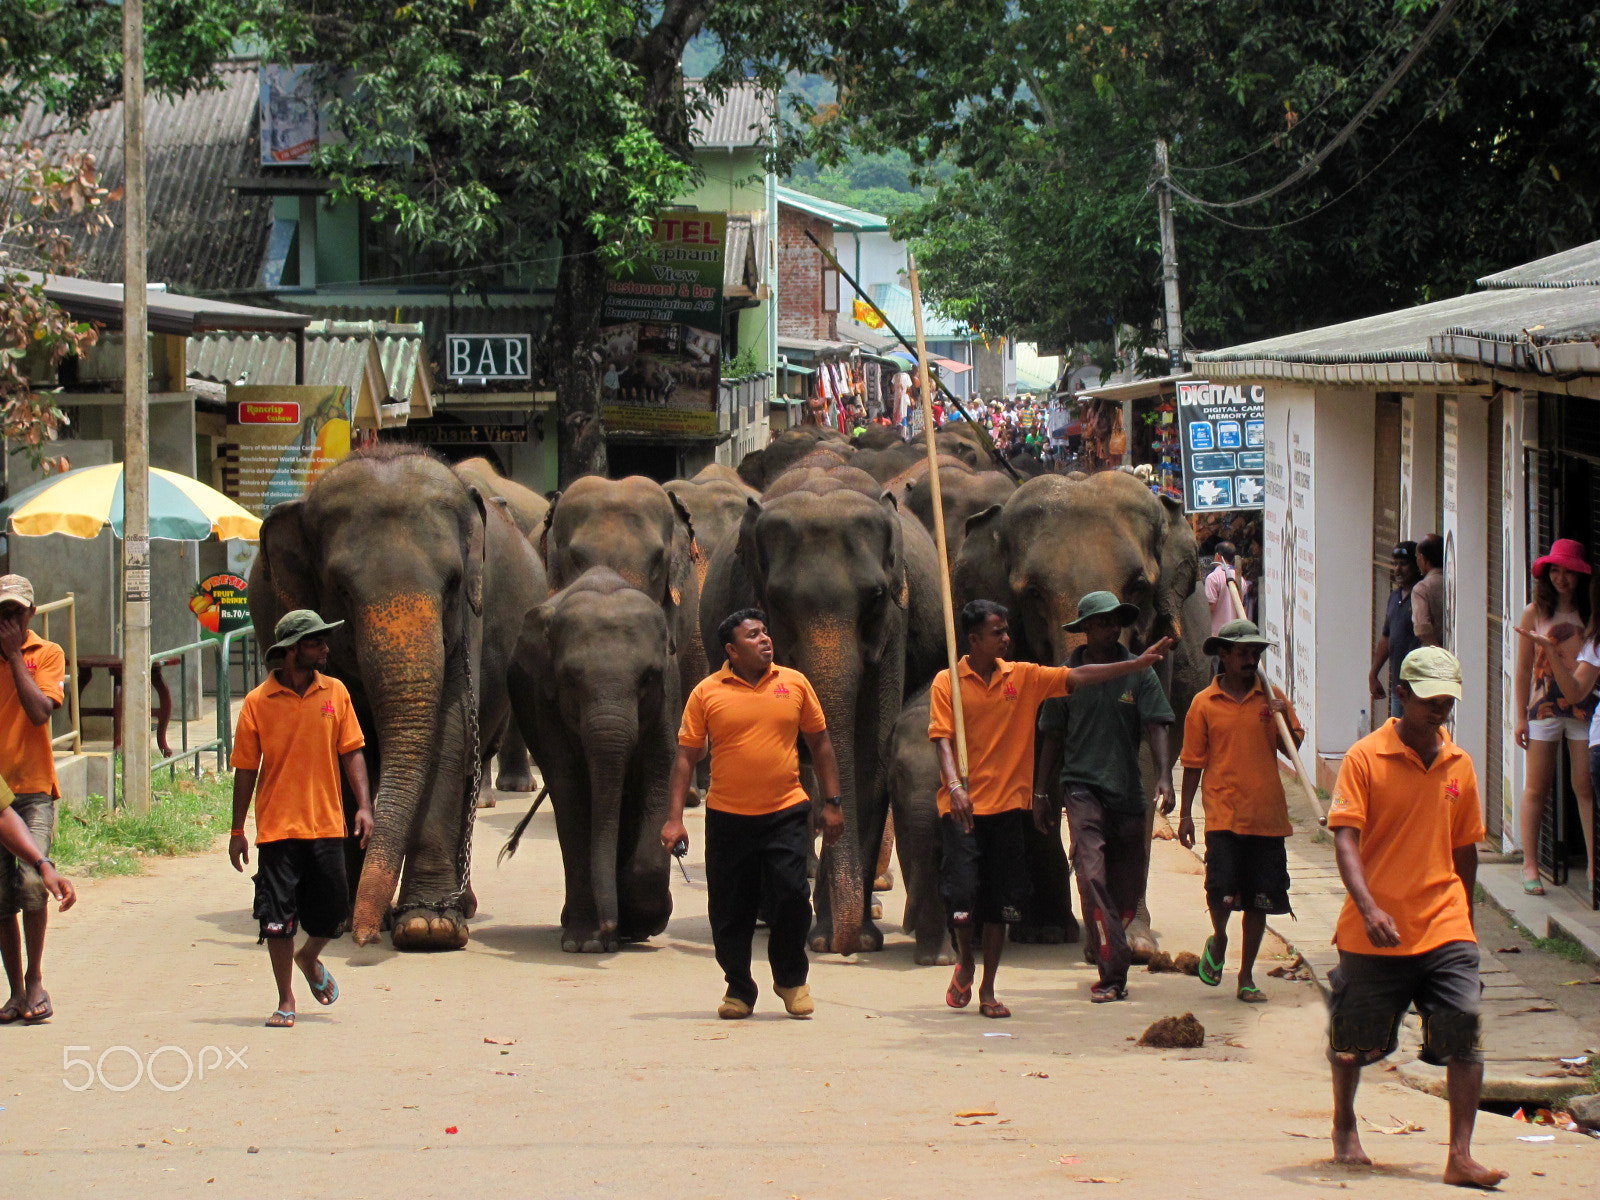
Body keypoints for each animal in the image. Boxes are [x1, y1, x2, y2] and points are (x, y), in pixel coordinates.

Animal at [249, 448, 547, 953]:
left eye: (453, 583)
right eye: (340, 589)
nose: (367, 935)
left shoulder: (466, 624)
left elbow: (449, 734)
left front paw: (428, 927)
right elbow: (342, 749)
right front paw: (344, 919)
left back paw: (459, 906)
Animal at [512, 569, 675, 953]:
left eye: (648, 677)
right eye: (570, 679)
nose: (608, 927)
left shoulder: (665, 699)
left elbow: (660, 772)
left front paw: (643, 923)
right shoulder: (544, 704)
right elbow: (569, 791)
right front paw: (585, 943)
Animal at [697, 464, 940, 960]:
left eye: (875, 596)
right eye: (776, 601)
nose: (844, 948)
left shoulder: (894, 624)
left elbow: (870, 749)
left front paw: (850, 940)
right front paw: (826, 935)